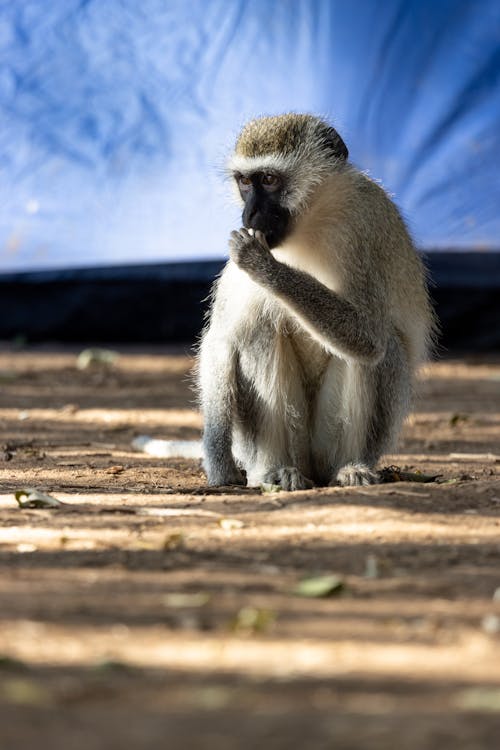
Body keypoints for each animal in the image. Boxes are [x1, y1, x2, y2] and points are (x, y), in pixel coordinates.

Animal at [195, 110, 434, 488]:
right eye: (244, 182)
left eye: (268, 179)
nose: (249, 214)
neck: (310, 219)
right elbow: (221, 340)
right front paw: (219, 462)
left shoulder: (364, 224)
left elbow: (368, 336)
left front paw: (266, 268)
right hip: (292, 441)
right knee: (256, 329)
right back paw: (276, 472)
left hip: (327, 443)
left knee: (381, 349)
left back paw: (350, 468)